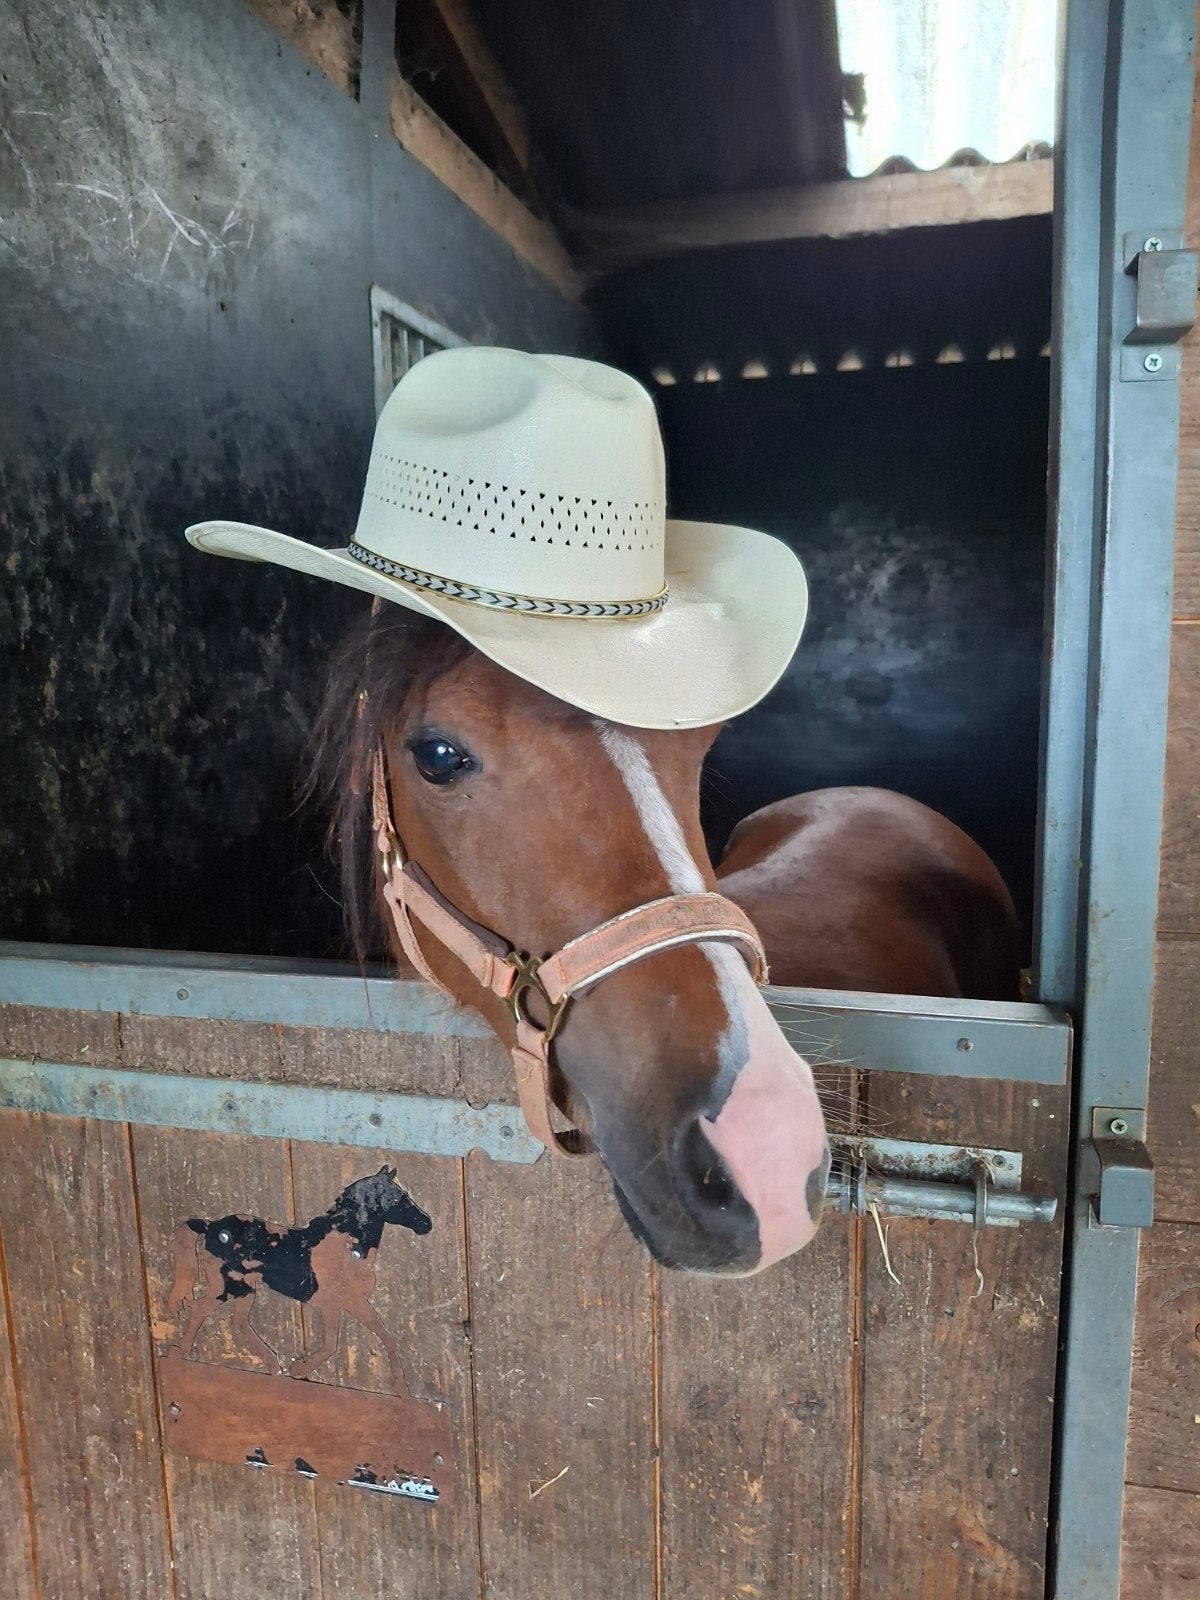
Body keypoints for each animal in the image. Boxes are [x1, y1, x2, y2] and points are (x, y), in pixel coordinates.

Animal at [166, 1166, 431, 1392]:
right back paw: (181, 1354)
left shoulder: (355, 1304)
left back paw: (273, 1366)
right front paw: (299, 1368)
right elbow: (331, 1345)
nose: (426, 1224)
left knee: (238, 1321)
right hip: (227, 1287)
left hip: (245, 1290)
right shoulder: (335, 1305)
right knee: (201, 1309)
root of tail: (210, 1227)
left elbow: (386, 1337)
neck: (345, 1248)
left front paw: (402, 1389)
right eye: (397, 1199)